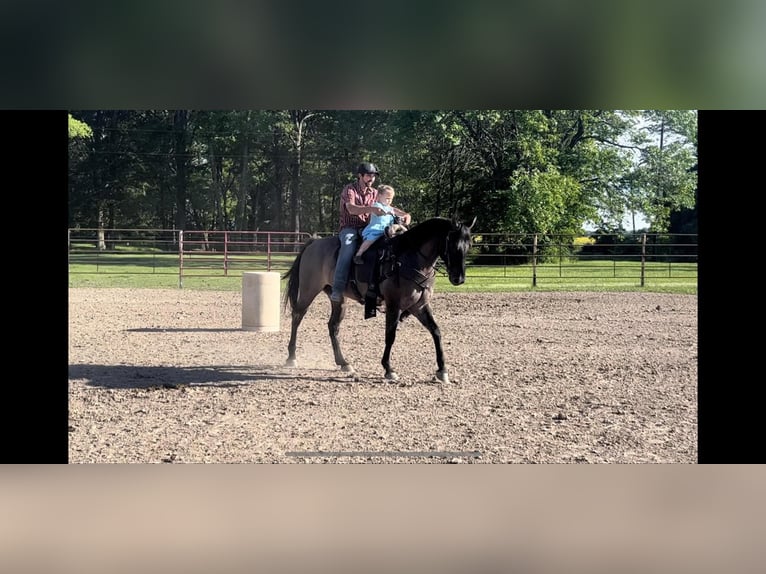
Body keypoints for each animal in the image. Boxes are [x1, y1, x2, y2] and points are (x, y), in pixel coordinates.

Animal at [282, 215, 475, 383]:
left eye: (469, 245)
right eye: (453, 245)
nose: (459, 278)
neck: (407, 258)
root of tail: (314, 243)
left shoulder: (419, 306)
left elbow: (436, 331)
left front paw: (442, 370)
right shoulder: (394, 305)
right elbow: (390, 335)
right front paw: (389, 369)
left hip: (338, 299)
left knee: (333, 326)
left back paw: (343, 363)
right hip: (308, 291)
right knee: (297, 317)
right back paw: (291, 357)